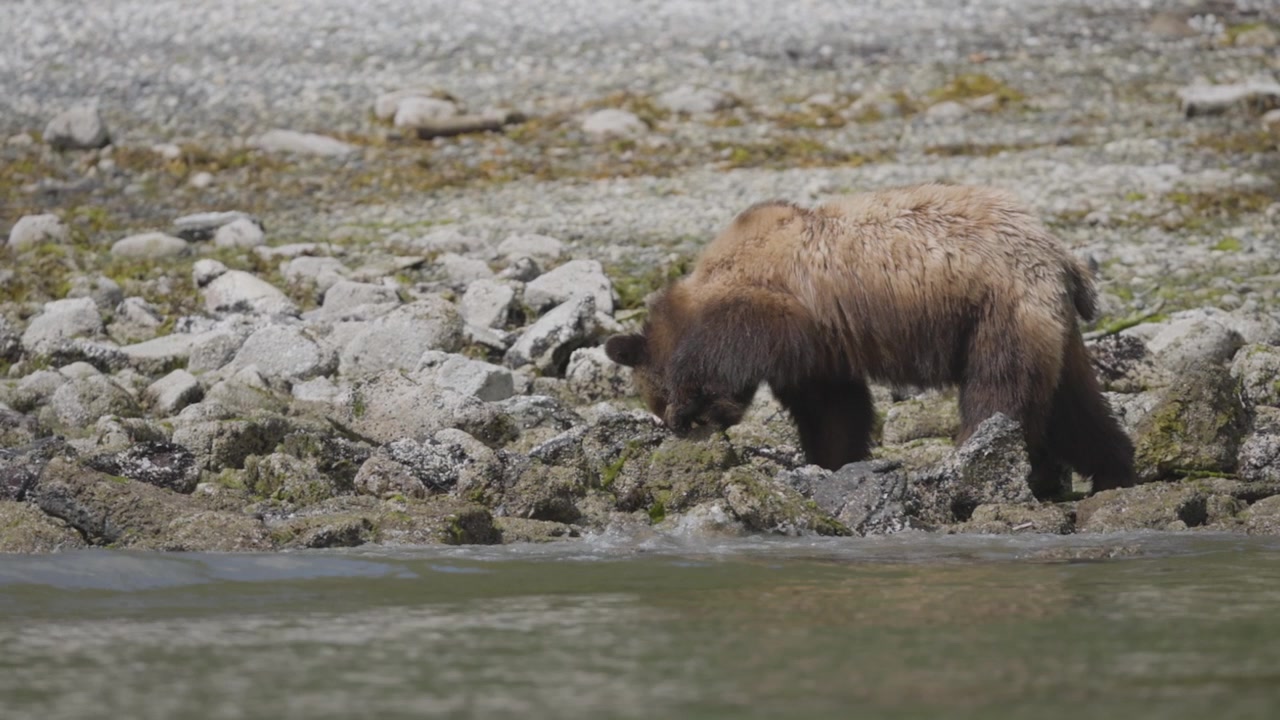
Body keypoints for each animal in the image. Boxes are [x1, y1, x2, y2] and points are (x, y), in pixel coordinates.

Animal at [603, 182, 1135, 495]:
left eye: (659, 404)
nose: (679, 424)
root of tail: (1062, 256)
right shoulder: (818, 348)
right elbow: (833, 410)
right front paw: (833, 460)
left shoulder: (776, 313)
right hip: (1052, 327)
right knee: (1074, 406)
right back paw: (1114, 469)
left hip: (997, 309)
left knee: (1002, 391)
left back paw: (968, 458)